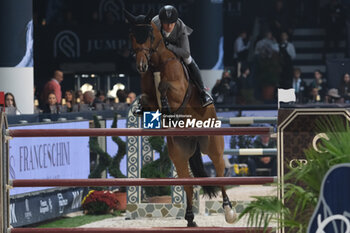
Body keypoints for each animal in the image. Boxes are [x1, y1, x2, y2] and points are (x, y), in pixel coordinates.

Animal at [124, 9, 237, 228]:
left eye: (150, 36)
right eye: (132, 35)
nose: (141, 66)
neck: (157, 63)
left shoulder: (179, 90)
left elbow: (165, 86)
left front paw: (168, 108)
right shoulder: (149, 98)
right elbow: (146, 98)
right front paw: (155, 111)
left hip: (213, 146)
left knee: (220, 174)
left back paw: (229, 212)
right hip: (179, 154)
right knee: (188, 185)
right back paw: (190, 218)